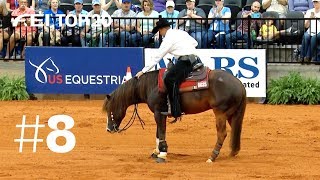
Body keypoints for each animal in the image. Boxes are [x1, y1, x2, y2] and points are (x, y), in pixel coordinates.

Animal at [102, 68, 248, 163]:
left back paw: (212, 157)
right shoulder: (160, 113)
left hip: (220, 113)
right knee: (235, 130)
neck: (152, 85)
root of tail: (239, 83)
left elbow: (161, 132)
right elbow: (158, 133)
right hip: (232, 114)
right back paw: (233, 152)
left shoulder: (158, 112)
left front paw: (162, 154)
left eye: (110, 110)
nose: (108, 129)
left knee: (222, 134)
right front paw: (156, 152)